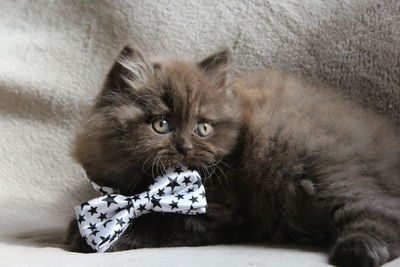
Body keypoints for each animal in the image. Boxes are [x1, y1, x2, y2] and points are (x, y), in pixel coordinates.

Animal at [68, 45, 400, 266]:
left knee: (381, 210)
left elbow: (158, 221)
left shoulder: (219, 211)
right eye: (161, 125)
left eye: (203, 127)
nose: (185, 148)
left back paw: (358, 252)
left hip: (311, 161)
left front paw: (88, 238)